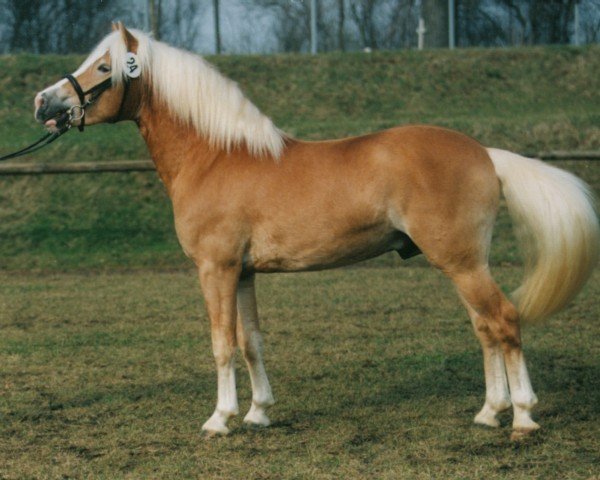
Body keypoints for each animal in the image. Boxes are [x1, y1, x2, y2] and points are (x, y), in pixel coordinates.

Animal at [34, 24, 600, 440]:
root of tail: (485, 153)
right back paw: (489, 412)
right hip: (463, 264)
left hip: (461, 262)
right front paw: (259, 413)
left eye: (104, 67)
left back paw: (522, 417)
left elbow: (221, 344)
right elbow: (251, 342)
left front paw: (220, 419)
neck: (215, 156)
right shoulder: (243, 273)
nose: (43, 103)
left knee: (504, 320)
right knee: (485, 327)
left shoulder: (215, 269)